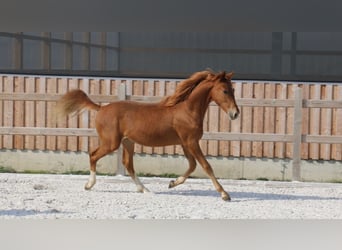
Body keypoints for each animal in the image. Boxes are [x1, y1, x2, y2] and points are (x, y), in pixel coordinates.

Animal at [56, 71, 239, 201]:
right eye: (225, 91)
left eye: (233, 90)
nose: (235, 113)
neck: (187, 110)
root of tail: (101, 108)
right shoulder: (191, 142)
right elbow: (206, 166)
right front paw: (225, 194)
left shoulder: (186, 143)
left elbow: (192, 166)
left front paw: (172, 183)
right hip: (111, 143)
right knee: (93, 155)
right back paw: (89, 184)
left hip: (128, 142)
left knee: (128, 165)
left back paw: (145, 190)